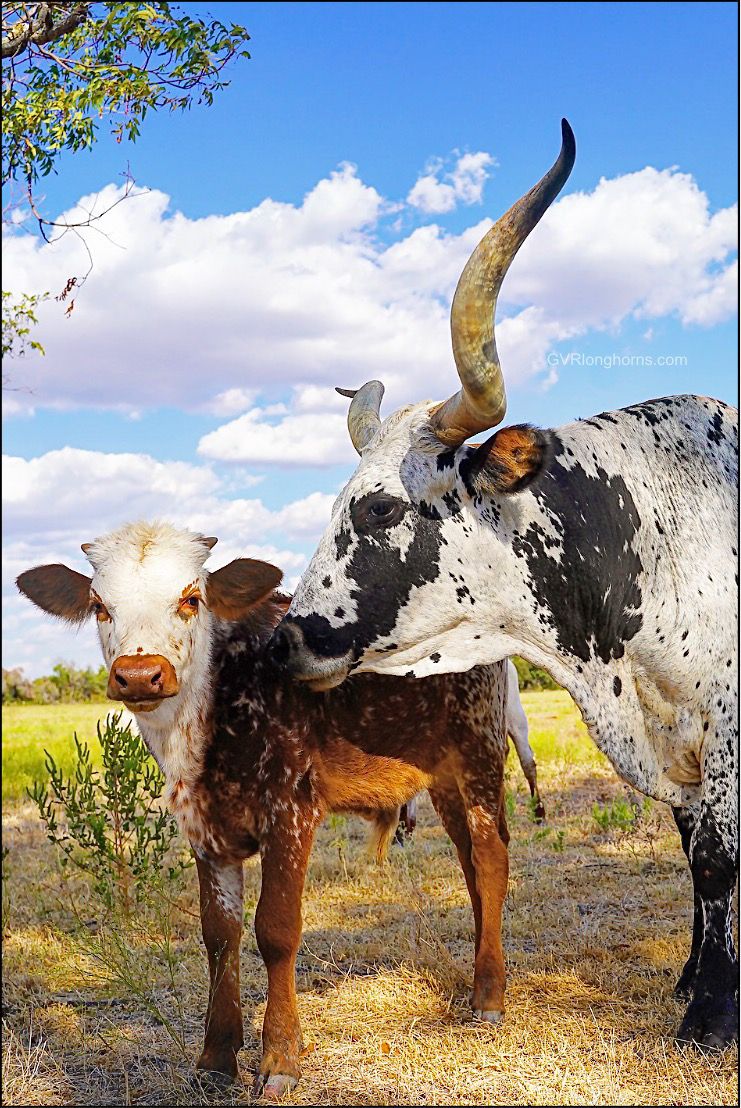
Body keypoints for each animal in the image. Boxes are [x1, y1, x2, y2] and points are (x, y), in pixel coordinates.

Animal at [17, 521, 538, 1095]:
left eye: (191, 599)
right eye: (100, 606)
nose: (138, 674)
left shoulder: (290, 808)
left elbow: (276, 929)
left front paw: (280, 1058)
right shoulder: (205, 828)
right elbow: (219, 936)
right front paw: (215, 1058)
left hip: (479, 748)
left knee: (490, 862)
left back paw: (488, 996)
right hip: (441, 776)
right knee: (469, 867)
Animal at [272, 119, 739, 1051]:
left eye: (380, 508)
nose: (288, 637)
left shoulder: (725, 726)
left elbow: (715, 859)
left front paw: (712, 1012)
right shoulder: (672, 742)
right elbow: (691, 849)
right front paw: (696, 978)